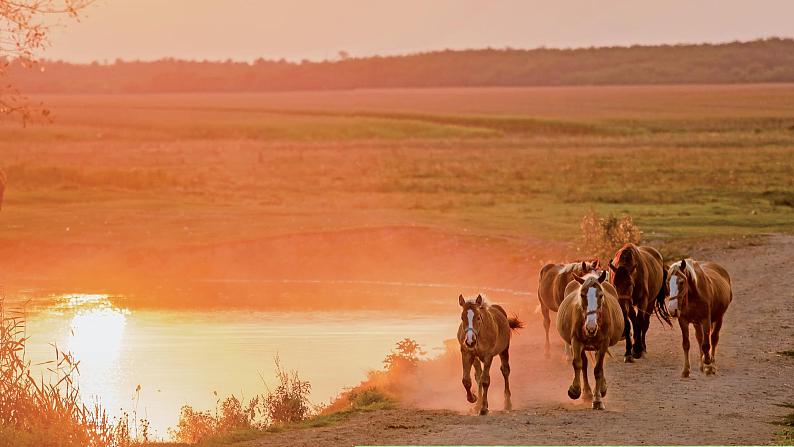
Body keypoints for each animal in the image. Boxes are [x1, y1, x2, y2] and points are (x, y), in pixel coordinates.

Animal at [552, 272, 620, 412]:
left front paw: (598, 399)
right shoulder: (576, 341)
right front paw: (575, 390)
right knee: (584, 364)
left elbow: (598, 369)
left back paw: (600, 388)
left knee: (599, 363)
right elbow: (578, 363)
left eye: (601, 295)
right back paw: (587, 392)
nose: (590, 327)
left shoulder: (604, 343)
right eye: (582, 295)